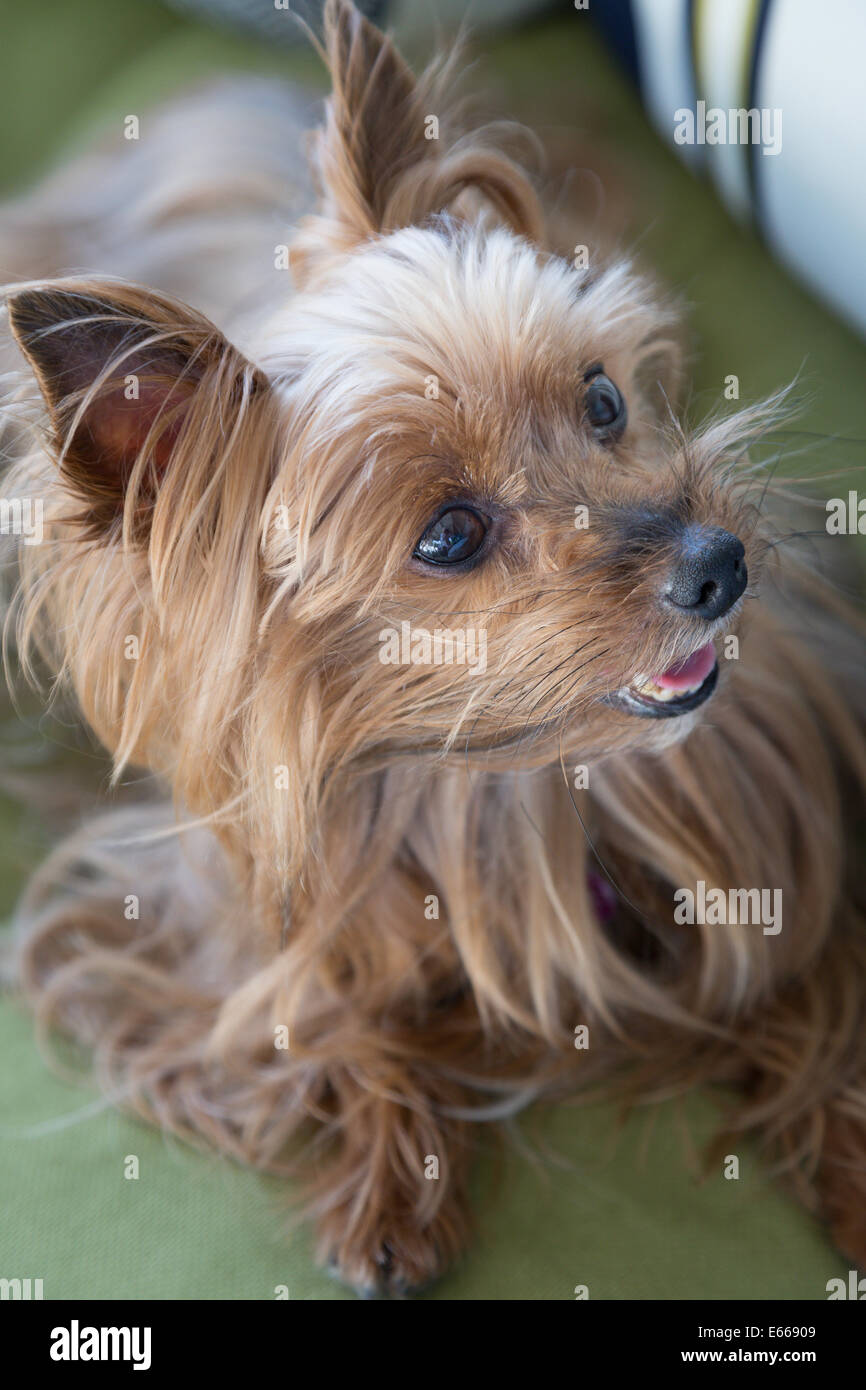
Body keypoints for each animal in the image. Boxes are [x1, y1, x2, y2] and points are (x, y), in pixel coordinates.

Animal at [1, 0, 866, 1289]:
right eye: (448, 534)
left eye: (602, 400)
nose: (721, 563)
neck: (498, 774)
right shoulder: (195, 914)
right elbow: (309, 1014)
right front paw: (387, 1182)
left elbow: (821, 989)